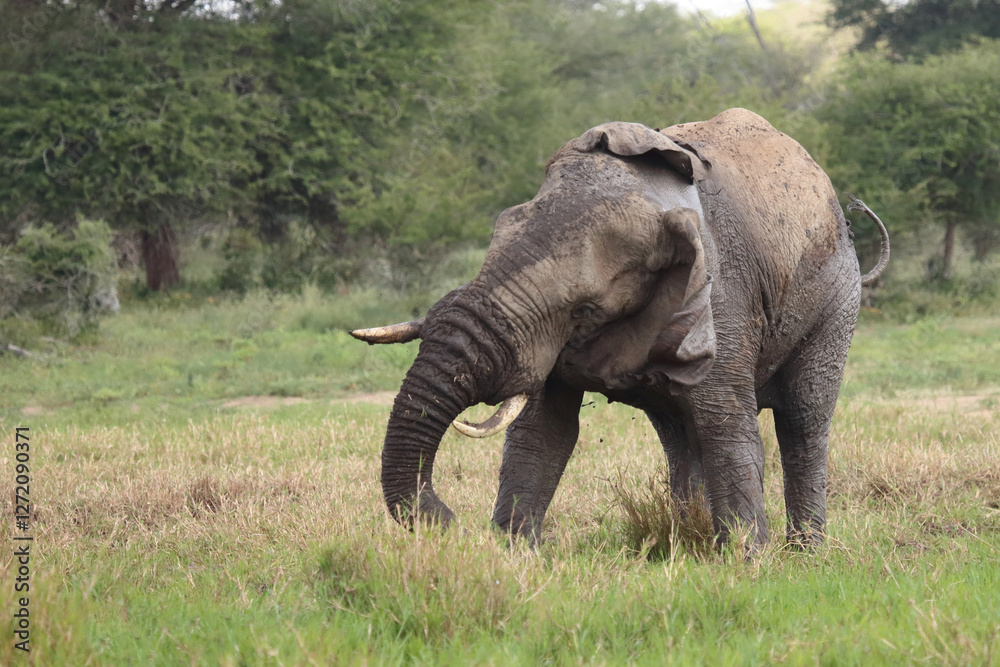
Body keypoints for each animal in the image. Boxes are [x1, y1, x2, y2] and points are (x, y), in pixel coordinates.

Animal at [352, 108, 889, 548]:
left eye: (586, 310)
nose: (444, 521)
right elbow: (542, 432)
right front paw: (512, 555)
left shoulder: (723, 300)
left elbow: (727, 430)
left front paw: (747, 564)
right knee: (679, 434)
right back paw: (687, 542)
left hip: (837, 302)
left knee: (802, 419)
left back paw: (803, 554)